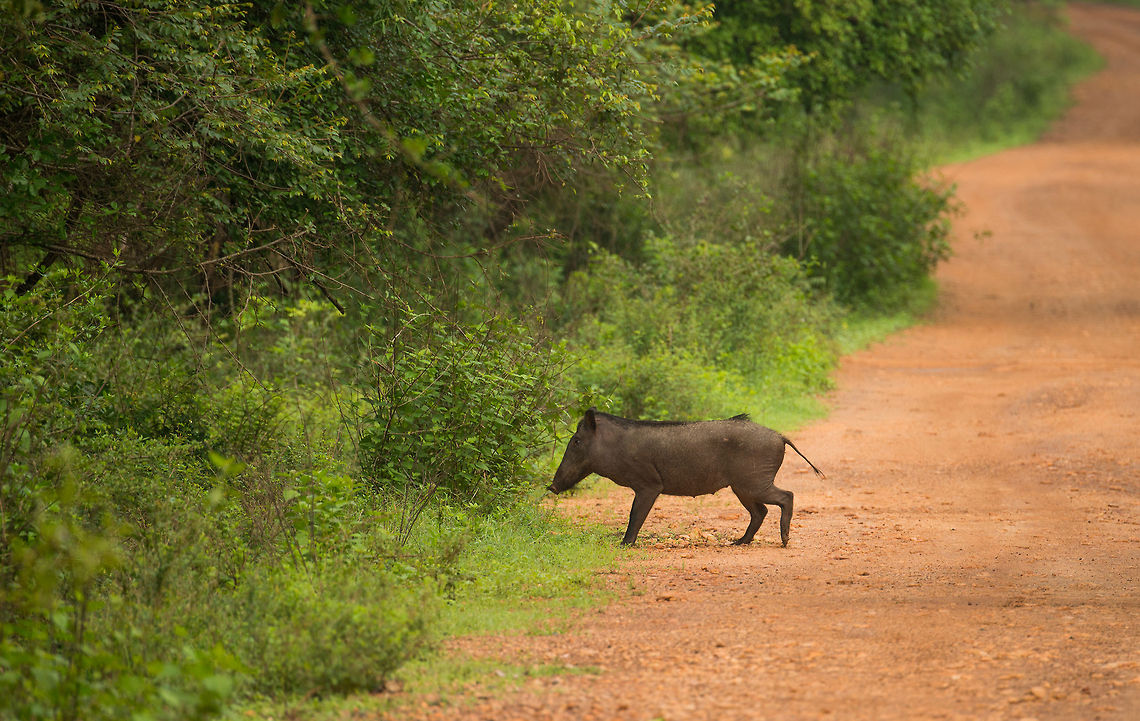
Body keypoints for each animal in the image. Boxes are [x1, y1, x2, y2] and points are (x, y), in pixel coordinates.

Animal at [547, 408, 824, 547]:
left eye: (576, 440)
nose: (551, 487)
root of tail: (780, 437)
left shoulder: (649, 484)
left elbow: (635, 516)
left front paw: (624, 545)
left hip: (753, 482)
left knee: (786, 496)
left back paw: (784, 542)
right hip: (742, 487)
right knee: (760, 512)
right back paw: (738, 543)